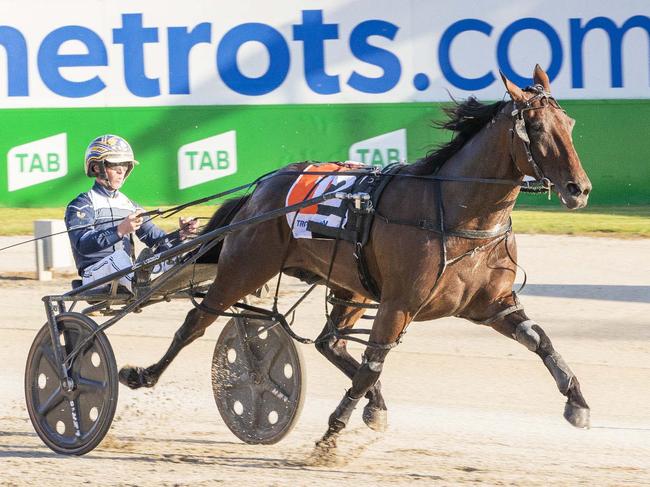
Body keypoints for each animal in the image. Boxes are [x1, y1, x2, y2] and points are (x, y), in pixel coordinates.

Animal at [120, 66, 592, 454]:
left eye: (569, 123)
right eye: (536, 126)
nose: (579, 189)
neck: (455, 213)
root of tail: (261, 189)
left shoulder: (492, 305)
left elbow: (541, 341)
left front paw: (578, 402)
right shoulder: (399, 304)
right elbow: (372, 364)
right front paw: (330, 435)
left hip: (352, 285)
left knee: (330, 341)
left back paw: (374, 403)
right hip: (245, 267)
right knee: (197, 321)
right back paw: (143, 374)